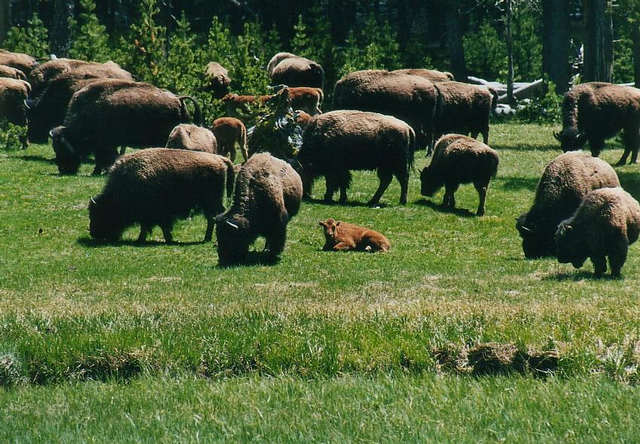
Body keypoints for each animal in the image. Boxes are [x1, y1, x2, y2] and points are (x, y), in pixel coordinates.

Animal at [51, 79, 201, 176]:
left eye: (63, 148)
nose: (63, 169)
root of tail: (177, 99)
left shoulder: (104, 144)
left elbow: (103, 158)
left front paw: (98, 171)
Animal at [89, 148, 235, 243]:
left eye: (100, 213)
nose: (92, 233)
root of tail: (221, 159)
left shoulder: (153, 214)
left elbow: (151, 226)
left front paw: (142, 239)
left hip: (210, 202)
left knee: (213, 217)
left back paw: (207, 238)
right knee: (213, 217)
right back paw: (207, 238)